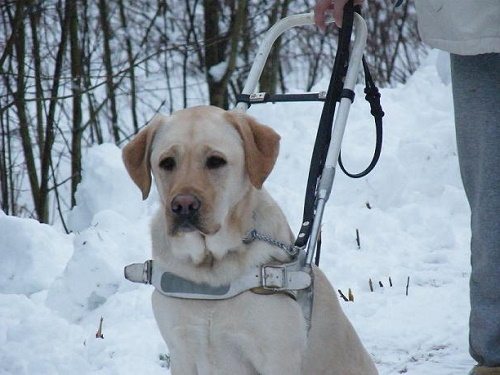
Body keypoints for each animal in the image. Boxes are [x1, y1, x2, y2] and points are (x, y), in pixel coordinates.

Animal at [123, 104, 376, 374]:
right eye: (167, 162)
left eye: (216, 161)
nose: (183, 205)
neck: (211, 267)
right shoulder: (181, 352)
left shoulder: (277, 357)